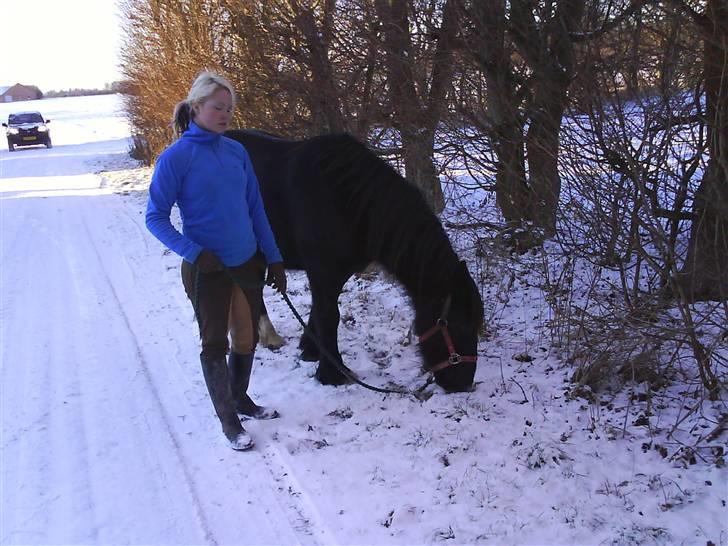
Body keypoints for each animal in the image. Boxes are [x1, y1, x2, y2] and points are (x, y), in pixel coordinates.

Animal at [225, 130, 484, 392]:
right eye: (456, 325)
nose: (462, 383)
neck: (348, 201)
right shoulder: (322, 271)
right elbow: (330, 315)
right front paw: (332, 373)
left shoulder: (335, 272)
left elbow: (321, 310)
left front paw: (310, 350)